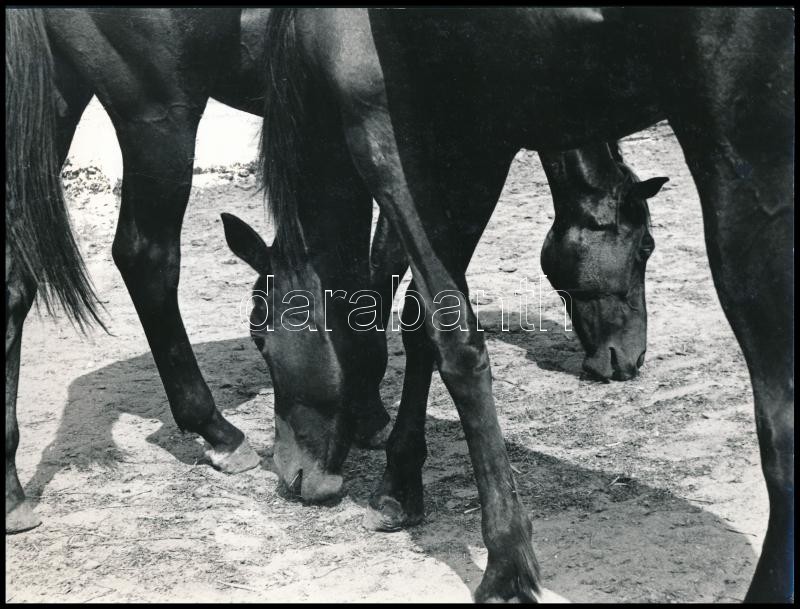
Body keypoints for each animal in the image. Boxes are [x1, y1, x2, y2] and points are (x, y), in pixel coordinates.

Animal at [4, 9, 668, 532]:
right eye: (644, 248)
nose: (628, 358)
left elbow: (370, 270)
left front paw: (368, 409)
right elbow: (401, 287)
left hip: (57, 98)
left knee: (18, 276)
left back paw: (13, 492)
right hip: (158, 115)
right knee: (146, 256)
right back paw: (217, 431)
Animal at [241, 7, 792, 604]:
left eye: (261, 341)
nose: (290, 473)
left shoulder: (386, 142)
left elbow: (451, 339)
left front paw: (506, 561)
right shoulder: (474, 145)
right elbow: (418, 320)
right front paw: (400, 487)